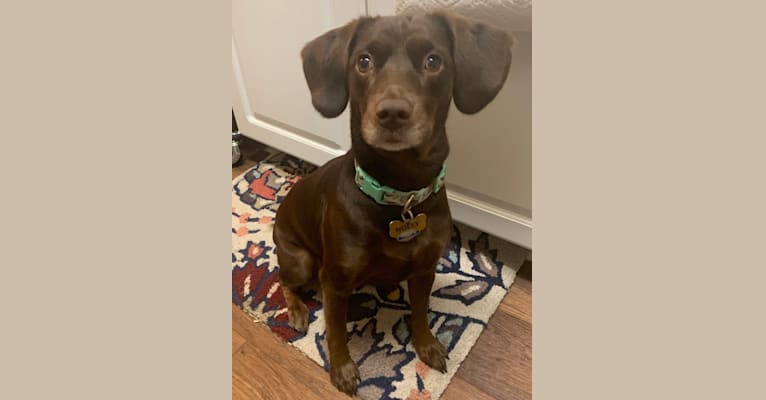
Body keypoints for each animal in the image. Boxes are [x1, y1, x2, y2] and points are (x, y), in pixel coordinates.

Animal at [272, 10, 512, 396]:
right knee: (285, 280)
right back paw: (295, 310)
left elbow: (421, 312)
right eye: (363, 61)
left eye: (434, 60)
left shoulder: (424, 269)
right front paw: (342, 370)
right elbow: (336, 332)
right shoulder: (335, 282)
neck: (400, 193)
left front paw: (427, 344)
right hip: (302, 260)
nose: (392, 113)